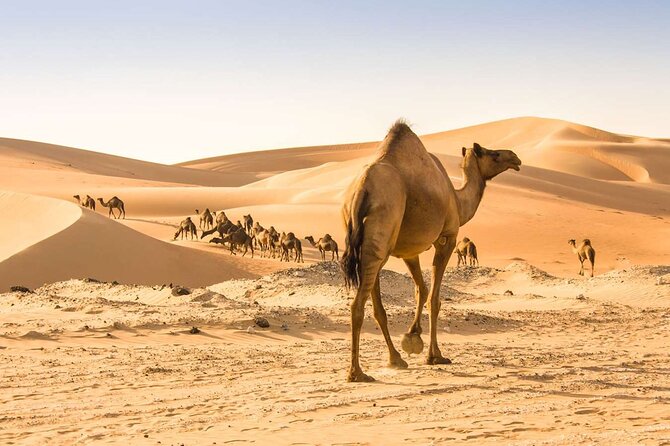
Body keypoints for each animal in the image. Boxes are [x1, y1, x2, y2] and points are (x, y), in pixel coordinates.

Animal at [340, 121, 521, 382]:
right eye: (493, 153)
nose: (515, 157)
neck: (458, 199)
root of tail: (361, 191)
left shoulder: (408, 250)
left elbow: (421, 290)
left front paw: (412, 337)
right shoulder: (447, 238)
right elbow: (434, 298)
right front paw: (434, 355)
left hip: (371, 243)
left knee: (376, 305)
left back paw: (395, 359)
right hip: (382, 231)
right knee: (358, 305)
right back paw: (357, 373)